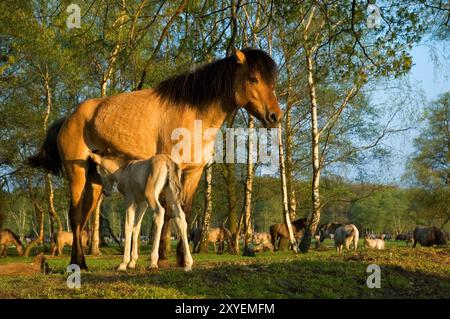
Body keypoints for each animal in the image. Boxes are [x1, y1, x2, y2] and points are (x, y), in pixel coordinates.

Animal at [28, 48, 280, 270]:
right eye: (254, 78)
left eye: (272, 82)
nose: (274, 116)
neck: (192, 112)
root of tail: (68, 118)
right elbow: (167, 213)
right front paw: (161, 258)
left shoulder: (192, 172)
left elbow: (183, 212)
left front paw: (182, 259)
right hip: (77, 177)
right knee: (75, 216)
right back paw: (76, 263)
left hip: (95, 182)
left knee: (83, 218)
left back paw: (82, 262)